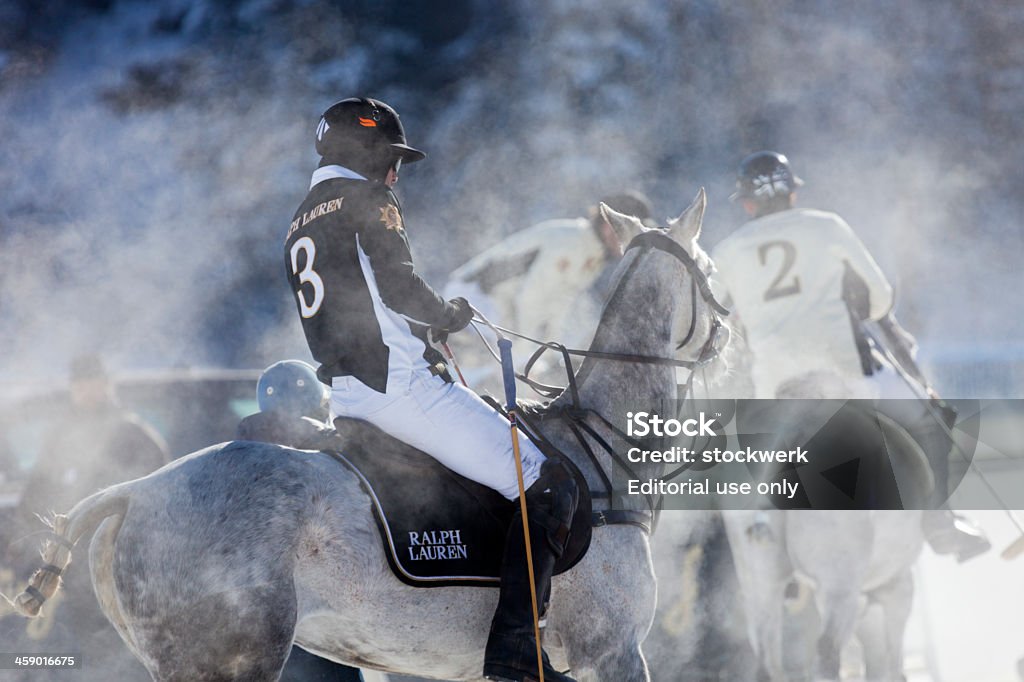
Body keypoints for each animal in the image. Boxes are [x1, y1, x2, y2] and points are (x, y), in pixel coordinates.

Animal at [8, 188, 729, 675]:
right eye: (714, 271)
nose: (730, 333)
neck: (601, 451)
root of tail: (135, 490)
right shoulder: (613, 651)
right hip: (231, 656)